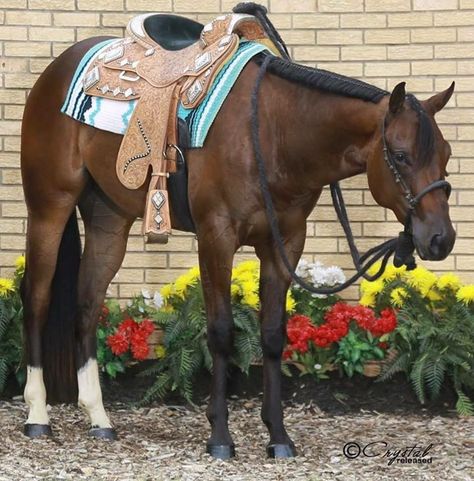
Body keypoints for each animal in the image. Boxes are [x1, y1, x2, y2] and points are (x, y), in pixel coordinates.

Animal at [19, 30, 456, 458]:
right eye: (401, 155)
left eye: (447, 154)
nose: (441, 238)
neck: (271, 132)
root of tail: (57, 70)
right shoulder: (217, 237)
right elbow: (221, 332)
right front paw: (220, 438)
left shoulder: (285, 244)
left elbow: (274, 335)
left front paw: (278, 436)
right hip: (50, 207)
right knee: (37, 299)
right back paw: (38, 415)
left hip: (109, 219)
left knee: (87, 304)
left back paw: (99, 419)